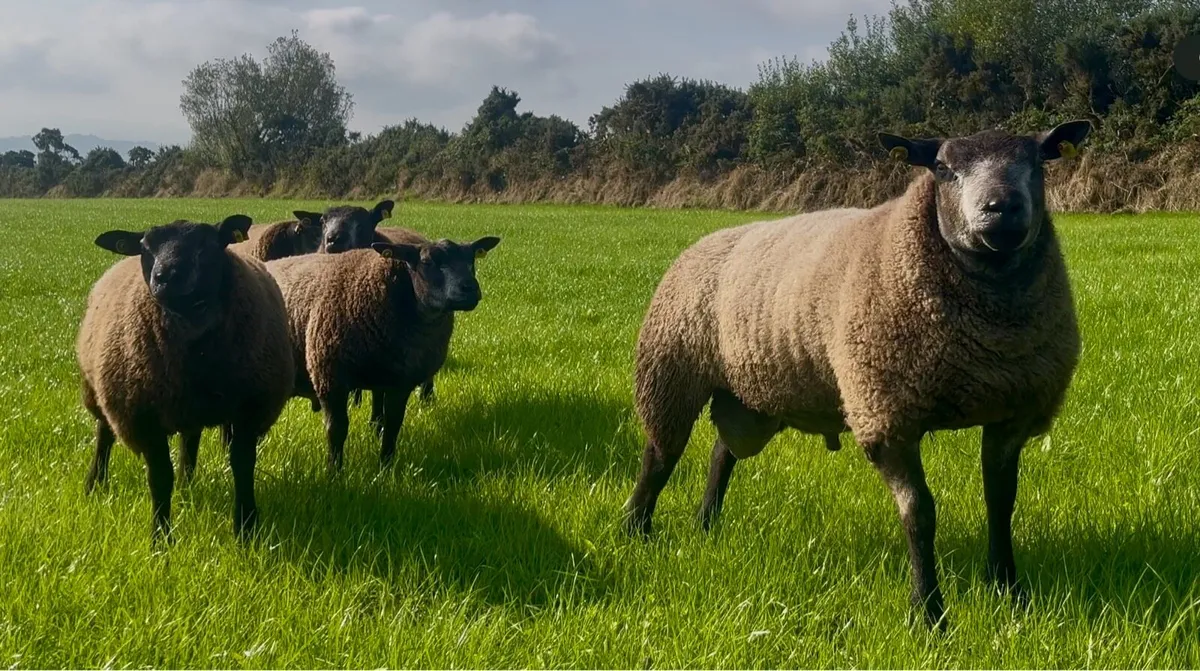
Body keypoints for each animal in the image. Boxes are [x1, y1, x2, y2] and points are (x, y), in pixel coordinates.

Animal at [77, 214, 294, 540]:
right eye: (144, 247)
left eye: (208, 243)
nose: (166, 276)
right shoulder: (144, 418)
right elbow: (159, 477)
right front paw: (161, 538)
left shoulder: (251, 409)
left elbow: (242, 466)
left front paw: (246, 529)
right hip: (100, 390)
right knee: (104, 435)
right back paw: (96, 484)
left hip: (189, 406)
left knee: (189, 440)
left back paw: (186, 484)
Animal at [266, 235, 500, 470]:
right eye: (427, 262)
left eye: (471, 260)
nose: (470, 288)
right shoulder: (329, 378)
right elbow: (336, 431)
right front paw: (334, 472)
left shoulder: (400, 383)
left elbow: (392, 425)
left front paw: (386, 467)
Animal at [624, 120, 1092, 628]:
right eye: (942, 167)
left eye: (1038, 161)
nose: (1001, 207)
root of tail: (703, 242)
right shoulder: (885, 414)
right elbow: (919, 514)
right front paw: (928, 613)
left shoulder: (1013, 414)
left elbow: (1001, 502)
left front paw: (1010, 593)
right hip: (670, 371)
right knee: (660, 456)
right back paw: (635, 530)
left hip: (753, 394)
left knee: (722, 453)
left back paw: (705, 524)